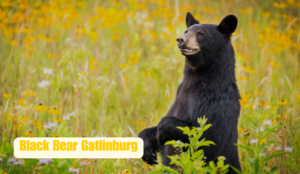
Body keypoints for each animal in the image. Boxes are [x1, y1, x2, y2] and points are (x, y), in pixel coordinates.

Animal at [139, 12, 241, 173]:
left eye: (201, 34)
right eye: (186, 31)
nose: (181, 40)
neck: (195, 79)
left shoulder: (217, 102)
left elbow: (208, 136)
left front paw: (161, 130)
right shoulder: (180, 93)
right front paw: (147, 146)